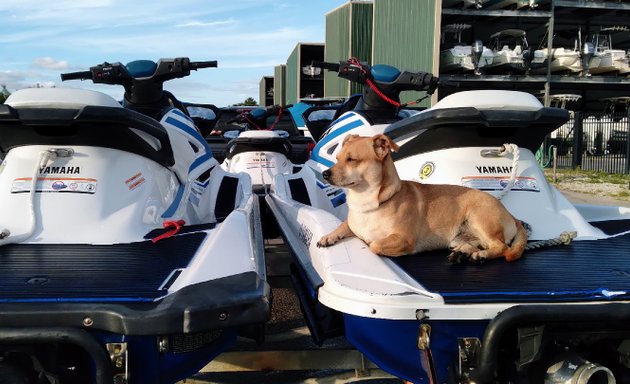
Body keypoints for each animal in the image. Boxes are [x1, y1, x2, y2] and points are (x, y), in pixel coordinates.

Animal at [316, 134, 528, 262]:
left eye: (352, 160)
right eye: (337, 158)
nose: (325, 174)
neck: (368, 203)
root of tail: (512, 216)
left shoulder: (403, 239)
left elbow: (374, 244)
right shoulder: (353, 224)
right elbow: (344, 225)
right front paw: (328, 237)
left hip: (480, 218)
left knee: (500, 247)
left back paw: (481, 255)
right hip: (459, 238)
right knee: (476, 244)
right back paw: (463, 254)